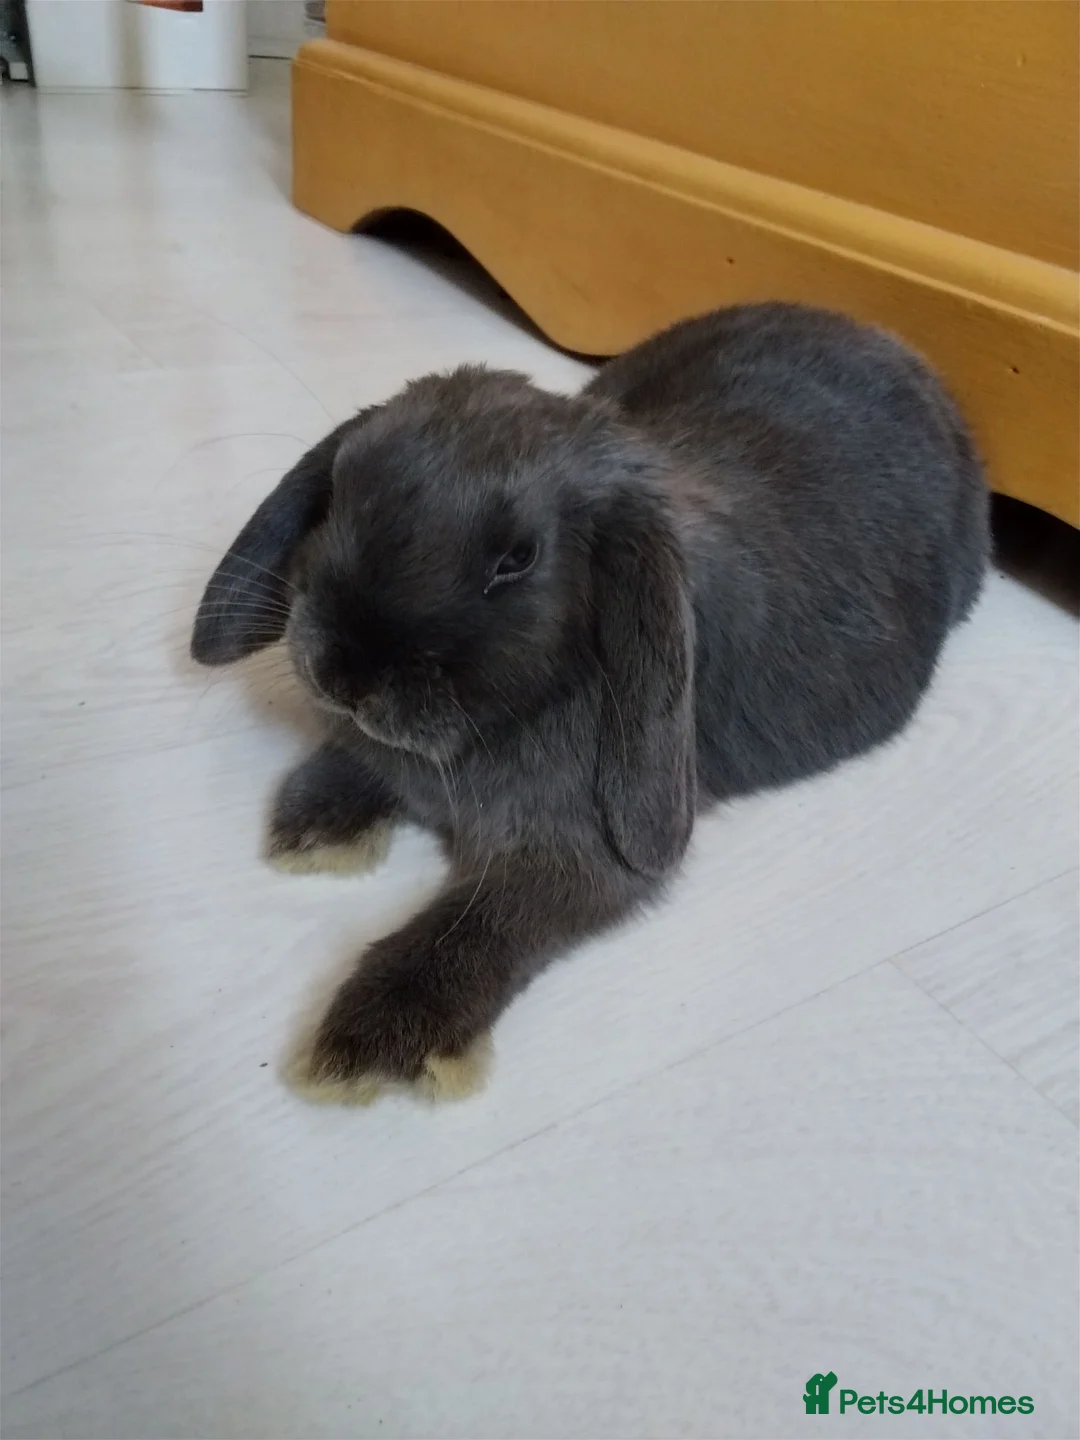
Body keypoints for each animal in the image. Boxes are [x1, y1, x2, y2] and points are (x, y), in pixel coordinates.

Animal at [191, 302, 989, 1103]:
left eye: (518, 559)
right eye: (342, 491)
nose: (344, 673)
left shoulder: (572, 856)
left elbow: (481, 925)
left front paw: (370, 1044)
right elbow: (360, 765)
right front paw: (314, 827)